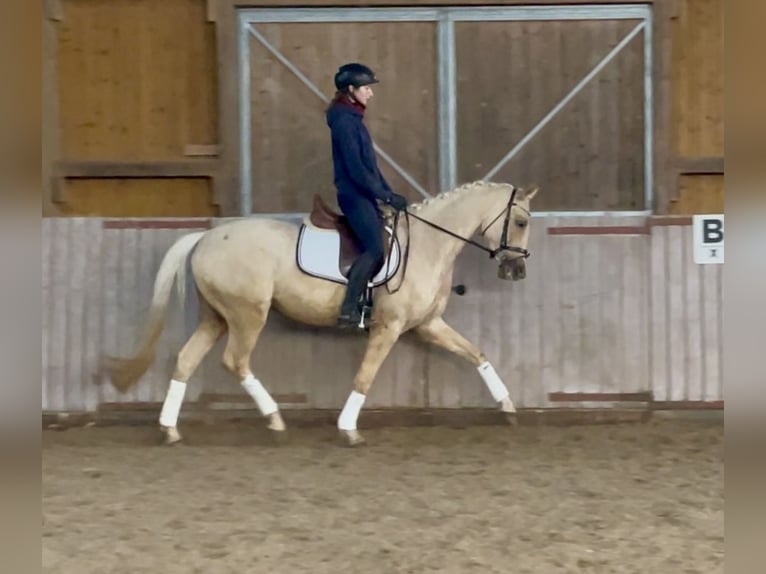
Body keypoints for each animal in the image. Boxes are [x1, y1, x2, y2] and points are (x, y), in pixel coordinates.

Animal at [103, 182, 540, 448]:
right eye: (520, 221)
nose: (517, 271)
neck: (428, 244)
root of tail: (206, 237)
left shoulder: (429, 325)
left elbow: (477, 353)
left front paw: (507, 407)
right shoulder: (390, 327)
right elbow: (365, 376)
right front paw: (348, 429)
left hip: (216, 317)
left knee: (186, 359)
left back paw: (170, 428)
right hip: (248, 315)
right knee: (235, 360)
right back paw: (274, 418)